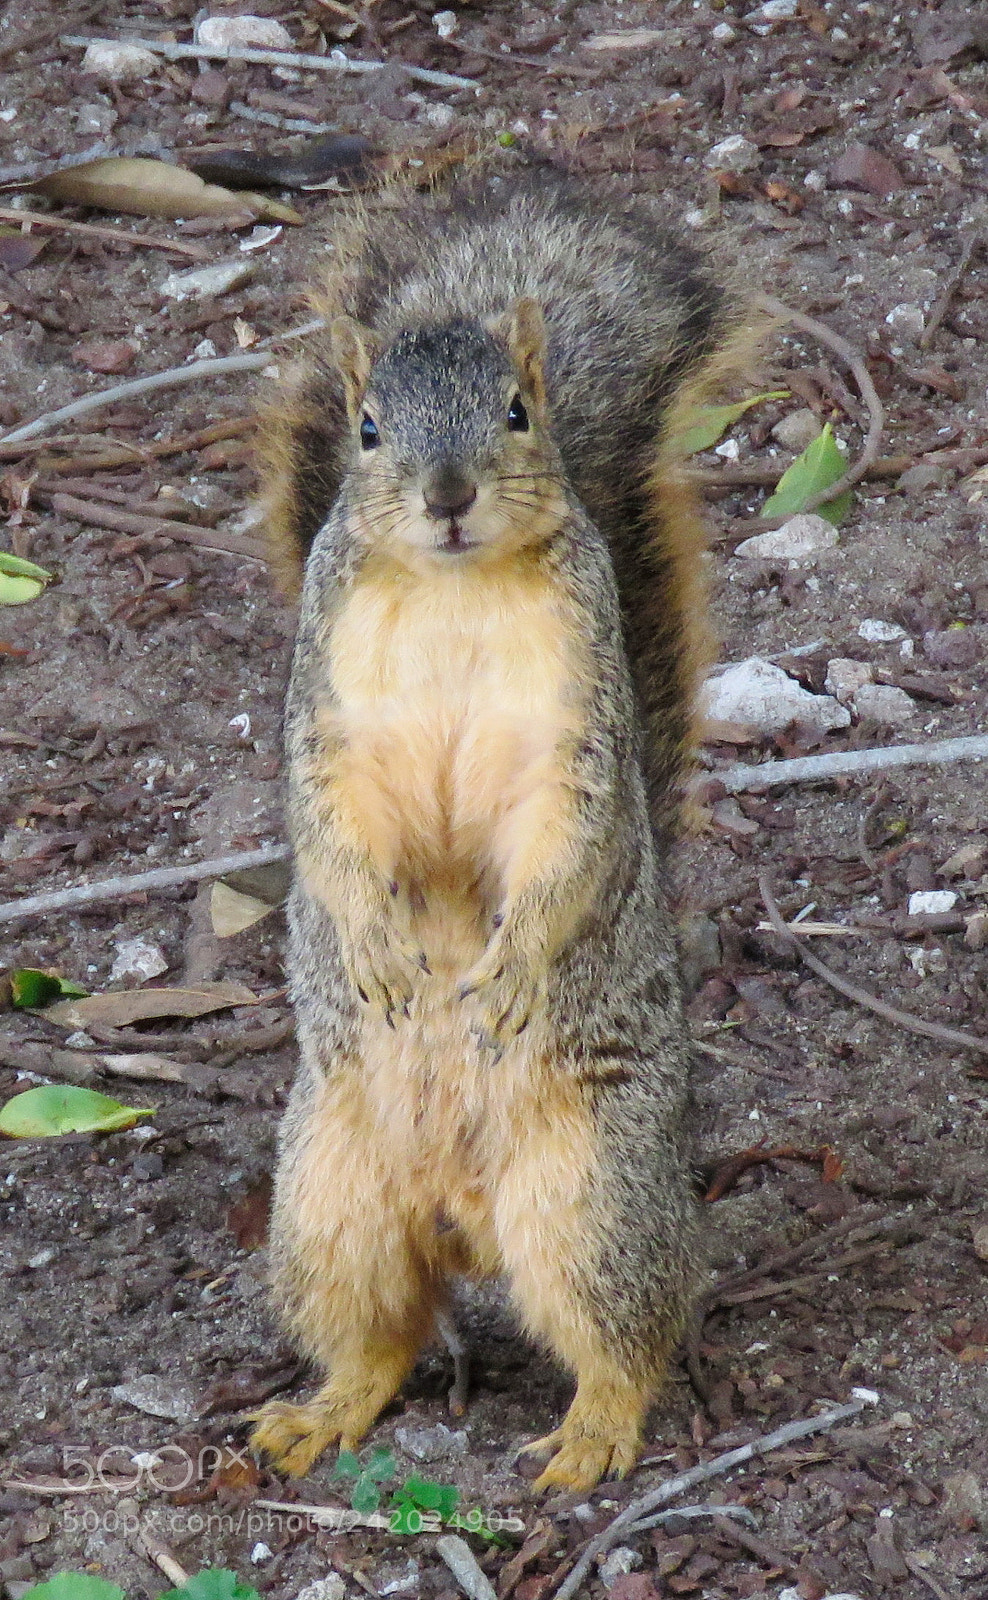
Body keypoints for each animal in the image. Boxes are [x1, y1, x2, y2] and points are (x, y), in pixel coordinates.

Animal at [250, 176, 743, 1492]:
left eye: (519, 412)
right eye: (370, 428)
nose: (449, 493)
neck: (453, 589)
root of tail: (458, 1213)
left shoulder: (575, 726)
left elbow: (565, 836)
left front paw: (511, 966)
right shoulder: (326, 715)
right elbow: (327, 820)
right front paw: (377, 945)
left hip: (591, 1196)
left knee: (628, 1334)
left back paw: (593, 1434)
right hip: (326, 1202)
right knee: (379, 1332)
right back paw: (319, 1411)